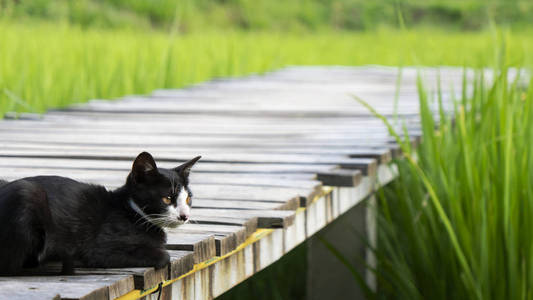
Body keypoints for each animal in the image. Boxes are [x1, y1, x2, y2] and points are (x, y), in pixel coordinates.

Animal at [0, 152, 198, 274]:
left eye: (188, 199)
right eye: (167, 199)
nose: (185, 216)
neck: (133, 213)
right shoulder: (101, 248)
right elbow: (164, 255)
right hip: (27, 193)